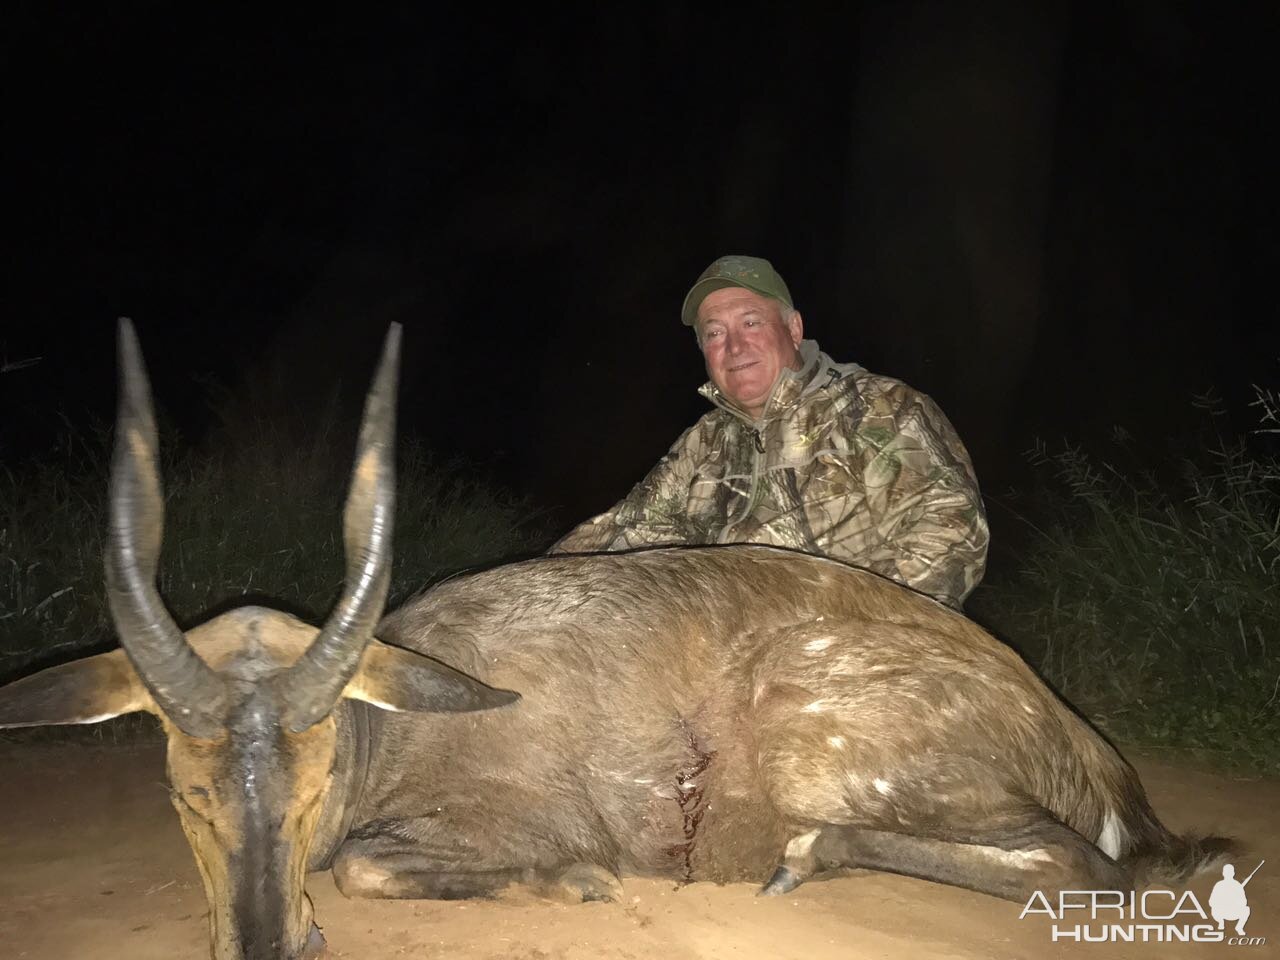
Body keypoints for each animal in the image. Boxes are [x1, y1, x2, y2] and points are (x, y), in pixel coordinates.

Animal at [5, 321, 1233, 960]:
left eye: (310, 788)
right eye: (185, 793)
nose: (269, 947)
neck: (389, 731)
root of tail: (1091, 752)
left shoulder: (481, 823)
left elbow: (371, 864)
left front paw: (583, 882)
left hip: (821, 731)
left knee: (1079, 865)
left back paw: (801, 858)